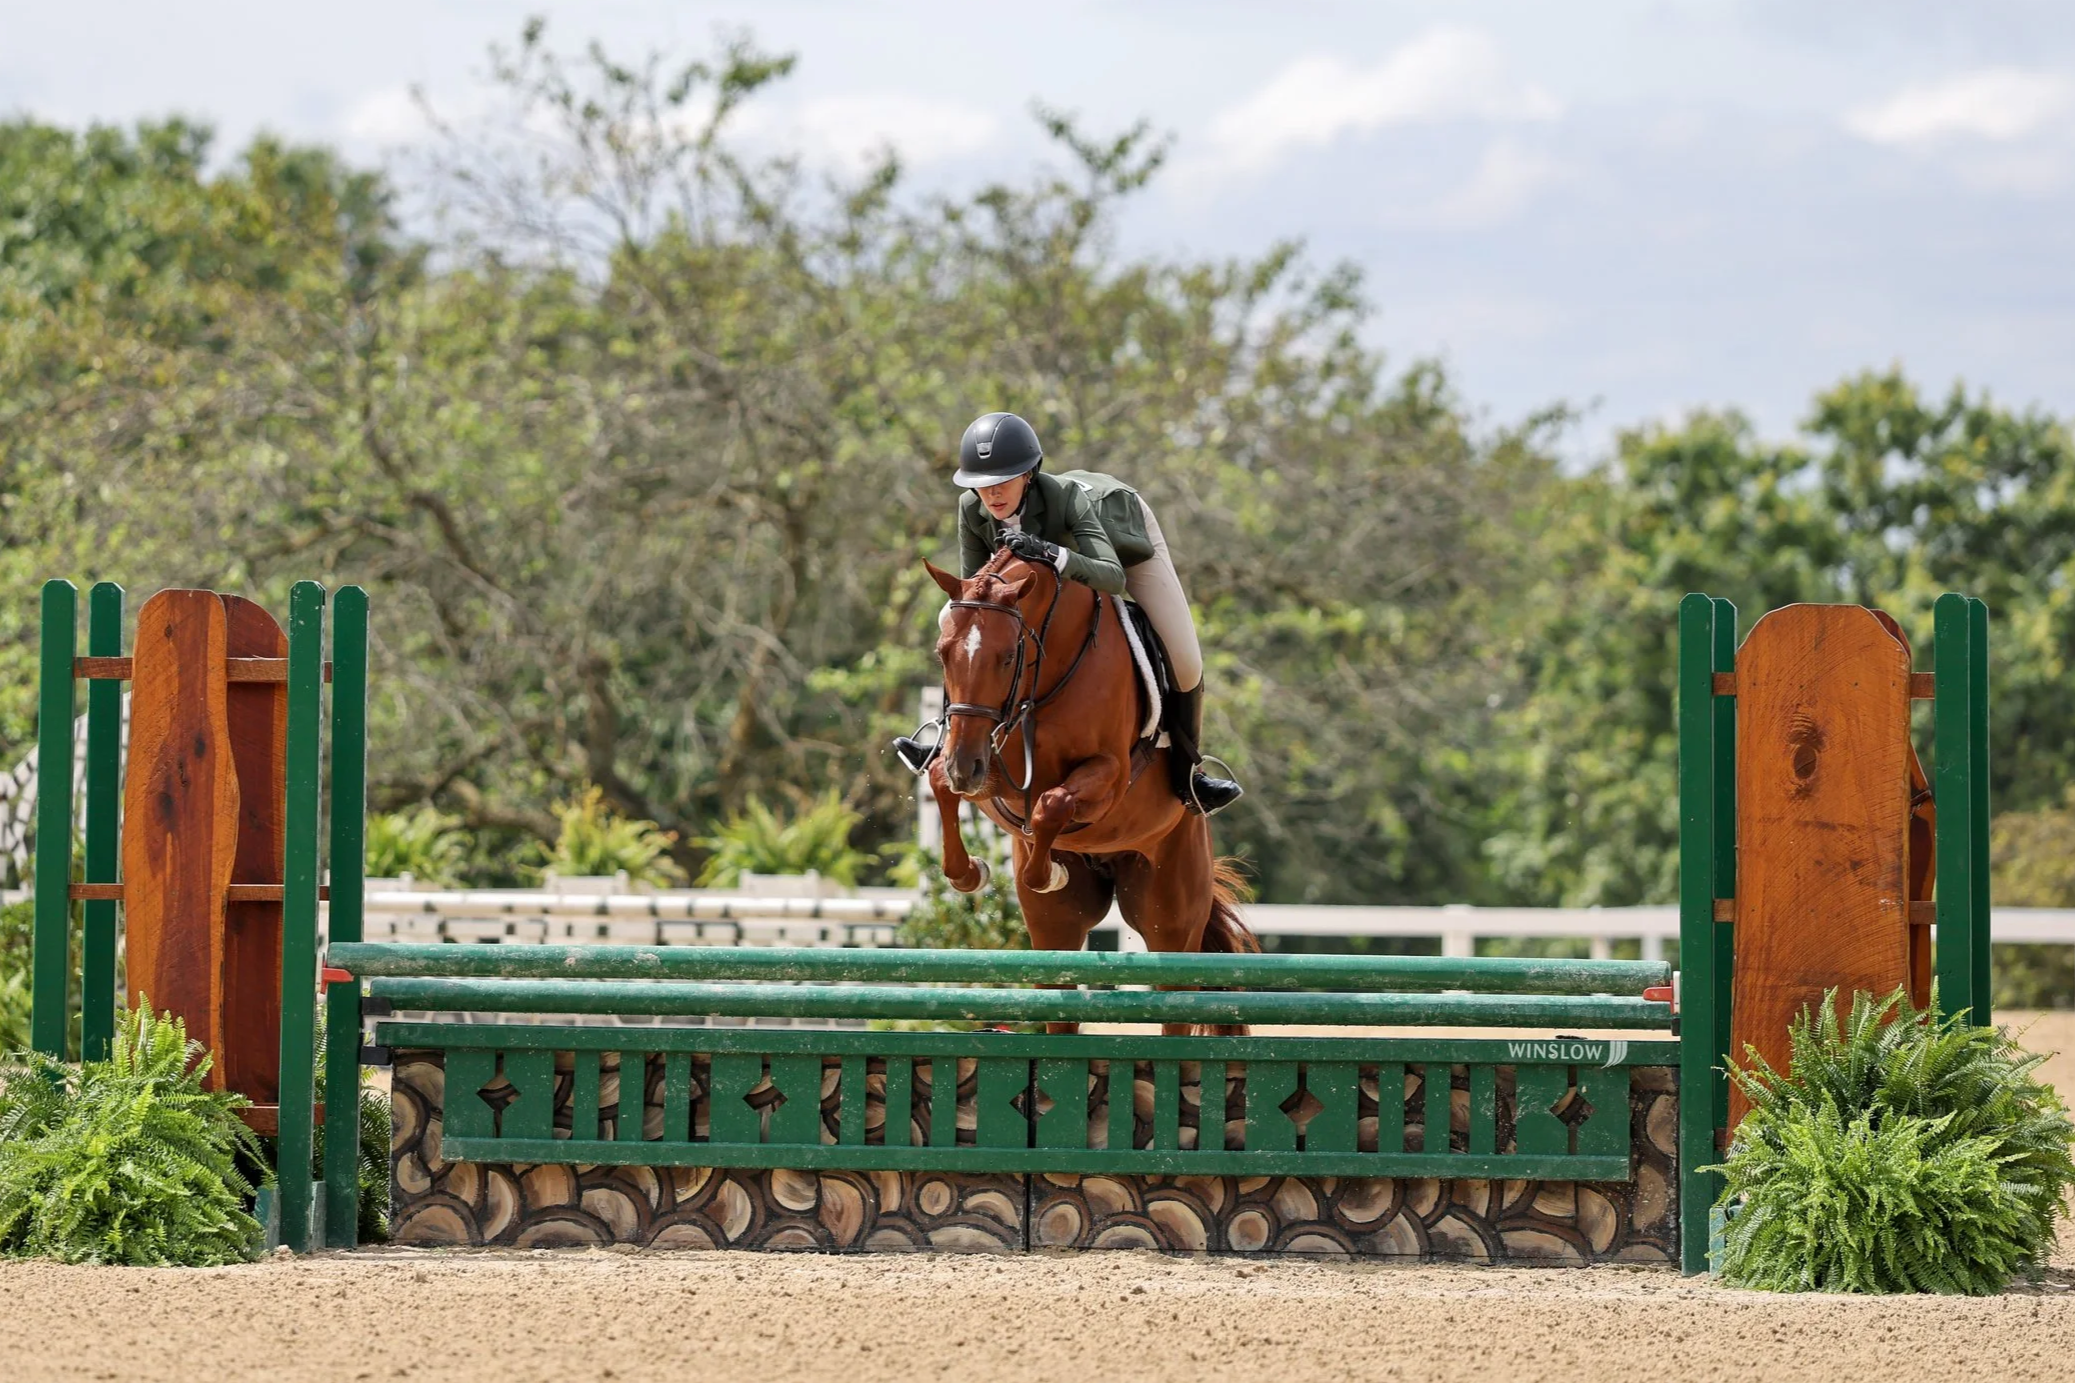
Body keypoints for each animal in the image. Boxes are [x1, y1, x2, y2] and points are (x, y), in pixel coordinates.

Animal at [920, 546, 1257, 1034]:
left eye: (1007, 656)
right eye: (943, 653)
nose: (965, 767)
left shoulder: (1109, 776)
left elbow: (1052, 804)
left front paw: (1046, 874)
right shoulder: (992, 766)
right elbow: (939, 783)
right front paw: (970, 872)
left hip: (1171, 919)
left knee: (1175, 1004)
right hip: (1055, 934)